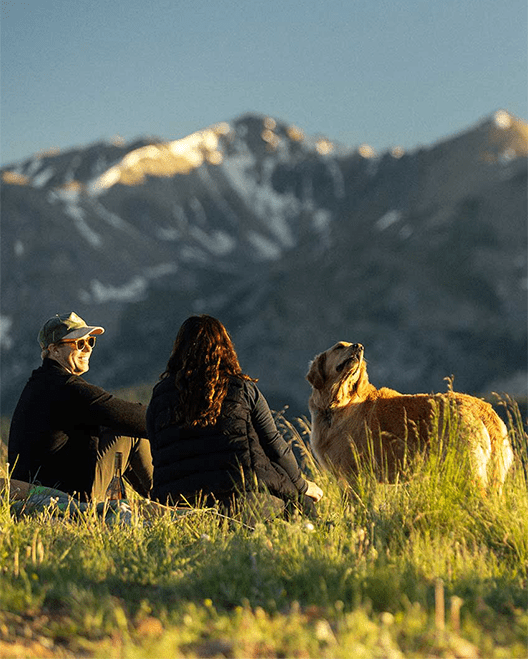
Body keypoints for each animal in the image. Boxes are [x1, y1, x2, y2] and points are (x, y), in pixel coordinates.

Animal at [308, 346, 512, 490]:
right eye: (339, 347)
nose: (359, 346)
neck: (337, 403)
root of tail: (484, 408)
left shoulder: (354, 474)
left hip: (466, 466)